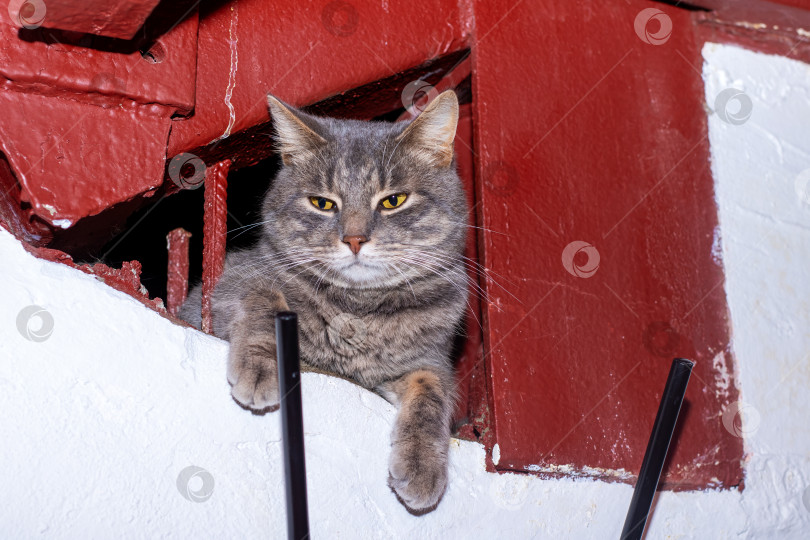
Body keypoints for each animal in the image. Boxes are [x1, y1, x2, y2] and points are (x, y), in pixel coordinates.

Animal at [178, 90, 468, 512]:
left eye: (393, 200)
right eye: (323, 203)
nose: (354, 239)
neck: (358, 310)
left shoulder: (429, 360)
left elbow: (432, 393)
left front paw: (423, 465)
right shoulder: (227, 284)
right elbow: (264, 296)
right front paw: (262, 366)